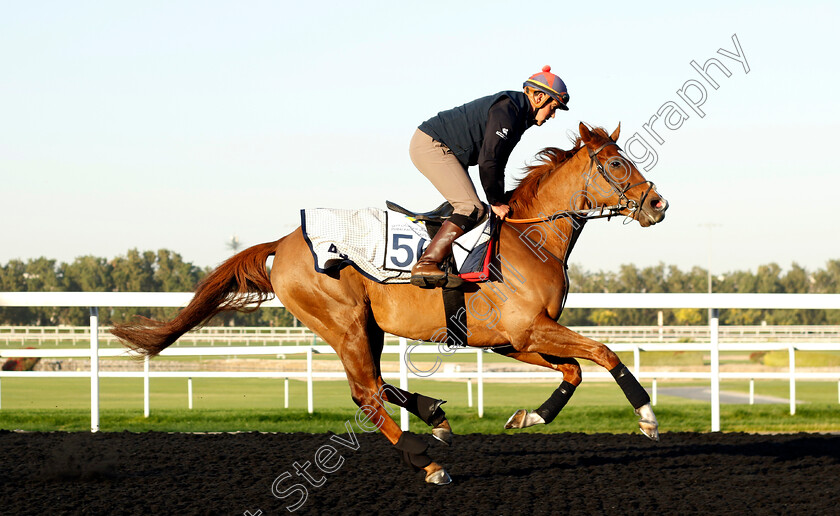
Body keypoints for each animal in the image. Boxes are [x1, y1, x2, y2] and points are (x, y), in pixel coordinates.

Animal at [111, 123, 668, 486]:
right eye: (616, 163)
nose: (658, 204)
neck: (530, 240)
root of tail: (284, 242)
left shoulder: (512, 339)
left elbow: (574, 369)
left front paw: (528, 417)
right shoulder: (527, 329)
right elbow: (604, 353)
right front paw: (646, 416)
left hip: (369, 326)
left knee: (376, 385)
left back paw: (433, 416)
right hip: (345, 322)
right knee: (366, 394)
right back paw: (427, 460)